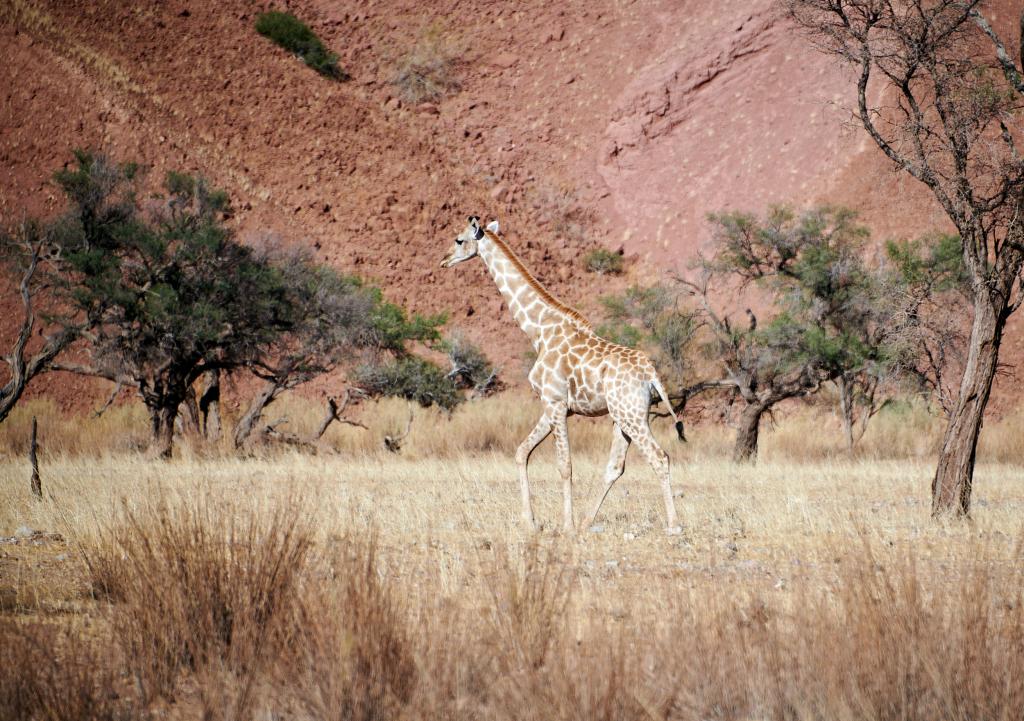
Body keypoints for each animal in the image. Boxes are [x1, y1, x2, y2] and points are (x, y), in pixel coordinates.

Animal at [438, 217, 684, 532]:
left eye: (459, 240)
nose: (443, 260)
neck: (539, 330)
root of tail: (651, 374)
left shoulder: (554, 402)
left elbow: (564, 465)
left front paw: (565, 525)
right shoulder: (554, 405)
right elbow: (522, 452)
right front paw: (530, 521)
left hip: (631, 415)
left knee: (659, 457)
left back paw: (673, 525)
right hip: (624, 416)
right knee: (616, 466)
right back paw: (587, 521)